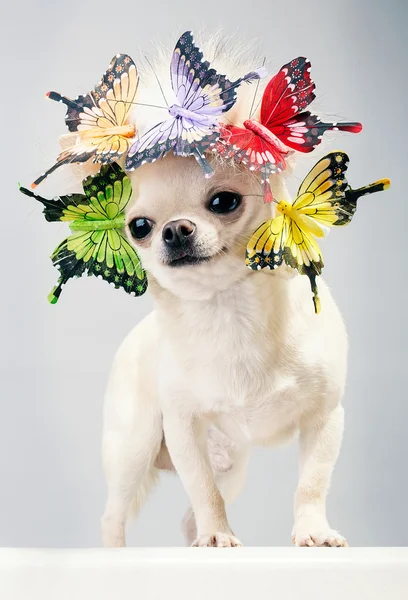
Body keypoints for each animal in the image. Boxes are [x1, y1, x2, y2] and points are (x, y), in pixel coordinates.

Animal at [100, 34, 350, 548]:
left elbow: (311, 483)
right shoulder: (183, 427)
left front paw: (313, 532)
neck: (229, 309)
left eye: (224, 202)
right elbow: (202, 490)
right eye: (139, 227)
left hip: (233, 462)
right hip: (133, 447)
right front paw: (217, 536)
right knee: (114, 516)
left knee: (187, 516)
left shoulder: (324, 418)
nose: (175, 230)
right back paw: (115, 553)